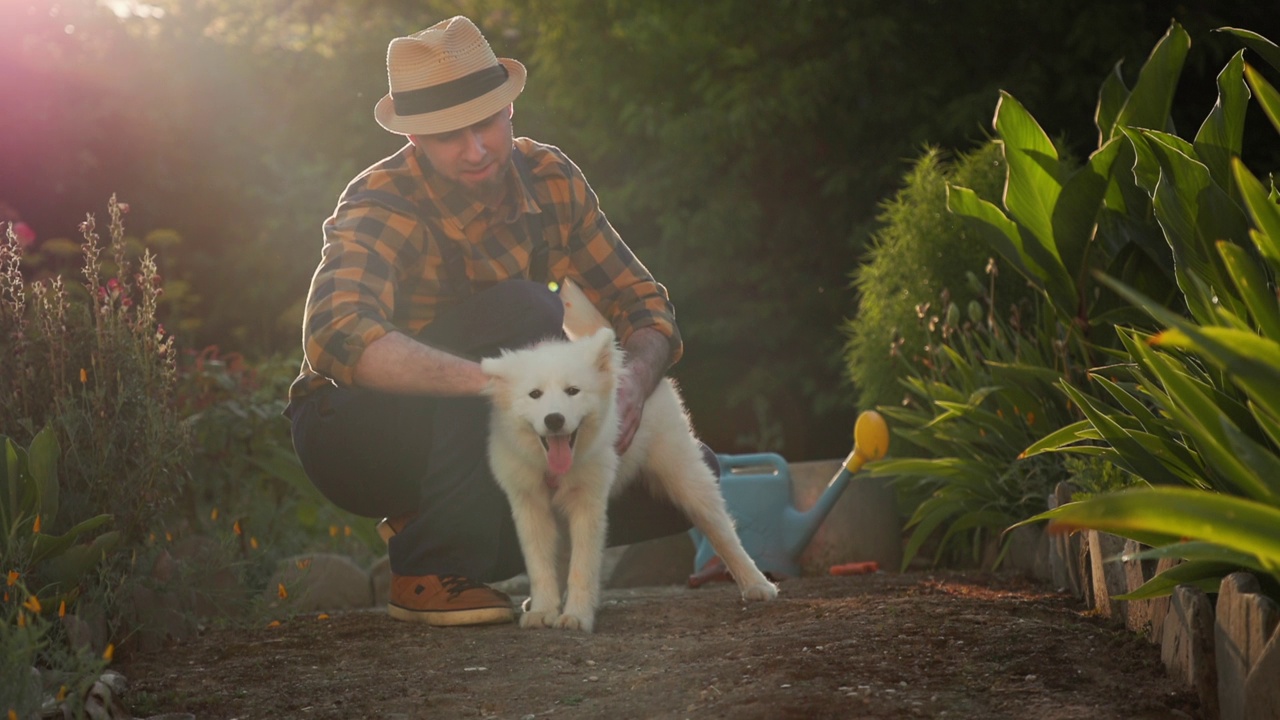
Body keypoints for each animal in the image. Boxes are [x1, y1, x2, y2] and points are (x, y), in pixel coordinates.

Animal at [481, 280, 773, 627]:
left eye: (572, 391)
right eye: (534, 394)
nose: (554, 420)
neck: (555, 466)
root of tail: (620, 357)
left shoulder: (589, 501)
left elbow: (583, 565)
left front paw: (576, 615)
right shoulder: (529, 503)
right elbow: (540, 565)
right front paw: (543, 610)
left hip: (685, 474)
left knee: (723, 530)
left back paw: (757, 584)